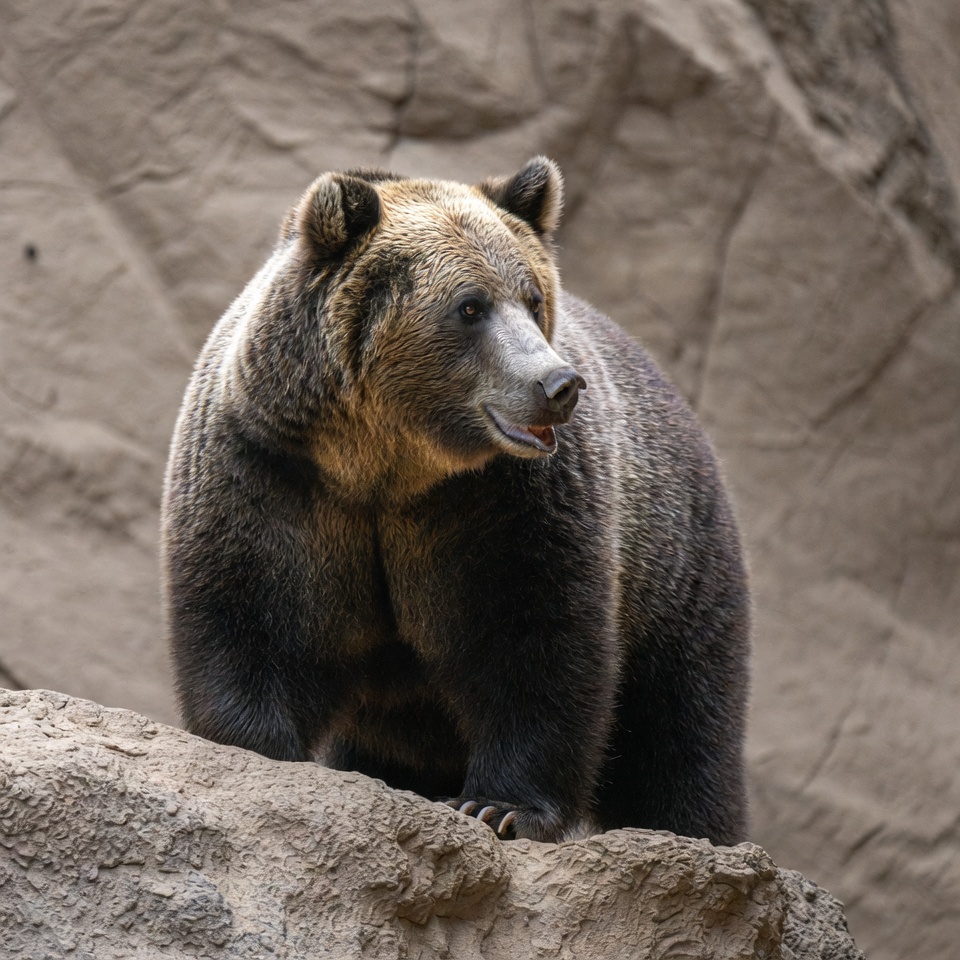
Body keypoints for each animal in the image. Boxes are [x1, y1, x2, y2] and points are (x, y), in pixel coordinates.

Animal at [161, 156, 750, 846]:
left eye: (532, 298)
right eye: (471, 306)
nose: (558, 384)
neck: (387, 464)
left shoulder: (506, 503)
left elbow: (536, 639)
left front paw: (501, 806)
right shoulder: (274, 474)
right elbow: (250, 614)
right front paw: (260, 748)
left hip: (674, 566)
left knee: (681, 729)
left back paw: (694, 832)